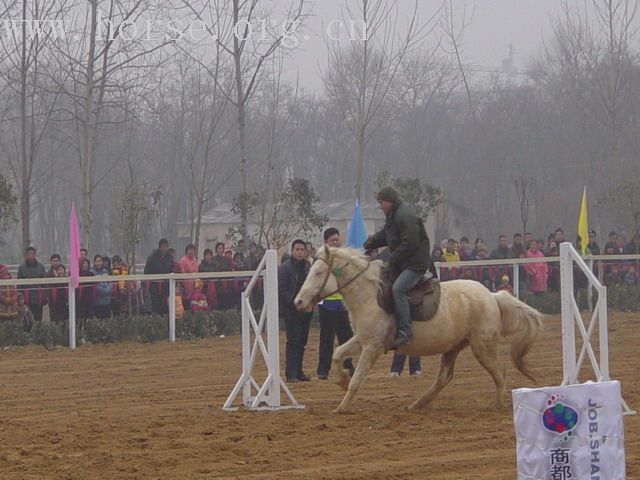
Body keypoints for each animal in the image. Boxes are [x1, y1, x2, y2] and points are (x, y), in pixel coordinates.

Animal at [292, 246, 544, 414]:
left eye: (318, 273)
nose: (299, 302)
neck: (370, 295)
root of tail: (492, 296)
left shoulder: (371, 347)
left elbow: (357, 380)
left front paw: (342, 406)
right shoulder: (363, 340)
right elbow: (337, 355)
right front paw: (342, 380)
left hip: (482, 346)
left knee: (499, 374)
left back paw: (498, 405)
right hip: (453, 347)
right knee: (443, 378)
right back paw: (417, 404)